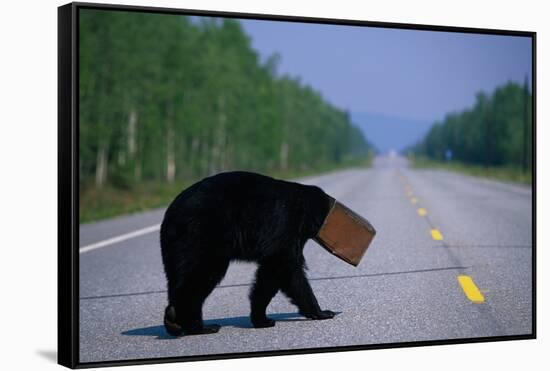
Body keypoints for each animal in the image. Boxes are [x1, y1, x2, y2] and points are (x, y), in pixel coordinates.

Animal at [160, 171, 336, 338]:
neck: (302, 207)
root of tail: (170, 214)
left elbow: (275, 274)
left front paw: (261, 318)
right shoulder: (285, 225)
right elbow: (282, 265)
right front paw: (322, 312)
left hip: (176, 248)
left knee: (178, 278)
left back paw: (173, 321)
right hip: (200, 234)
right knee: (201, 274)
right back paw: (198, 327)